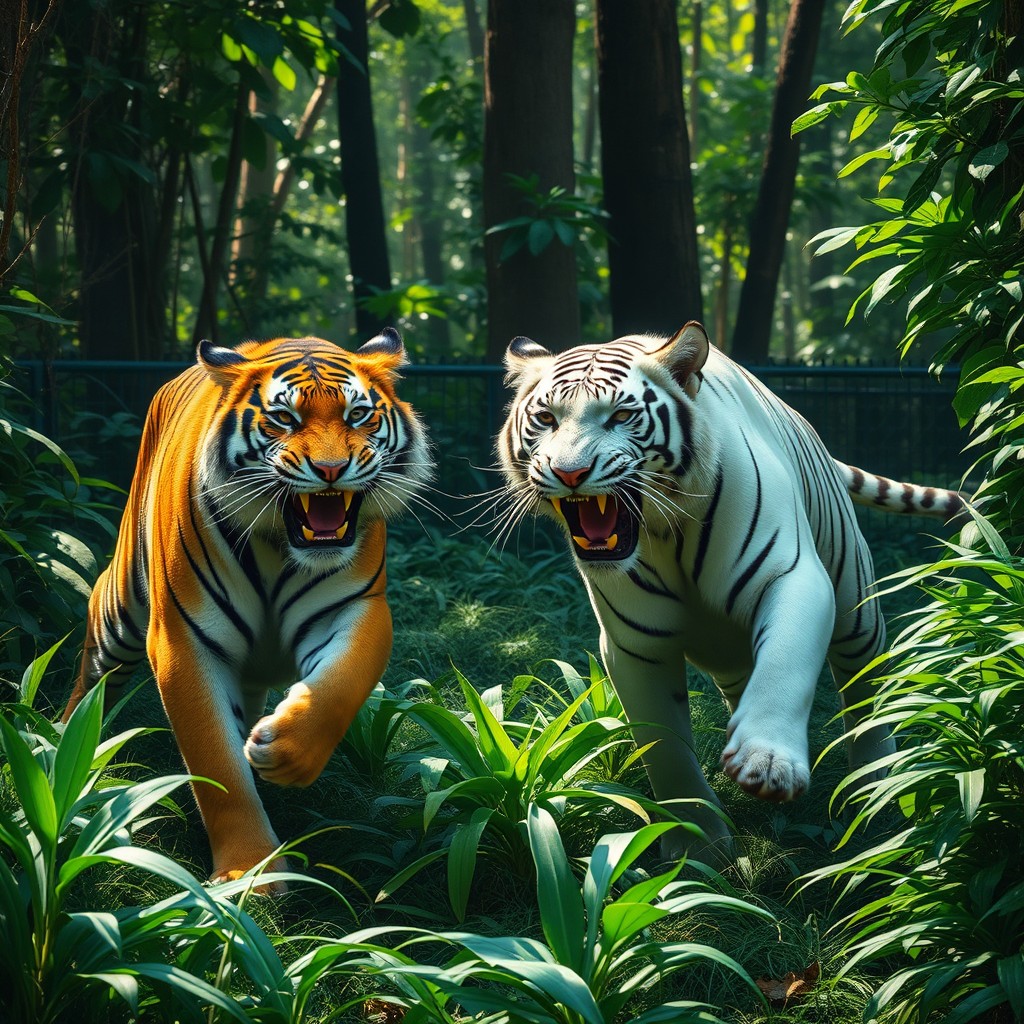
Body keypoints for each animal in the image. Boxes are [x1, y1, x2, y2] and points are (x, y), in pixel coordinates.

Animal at [62, 328, 432, 886]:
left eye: (356, 415)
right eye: (284, 419)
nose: (331, 470)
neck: (281, 547)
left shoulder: (358, 606)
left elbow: (342, 683)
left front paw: (284, 753)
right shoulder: (183, 640)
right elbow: (215, 763)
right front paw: (249, 873)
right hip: (120, 605)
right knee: (94, 666)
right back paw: (59, 745)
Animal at [497, 321, 966, 863]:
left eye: (620, 416)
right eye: (546, 419)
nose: (570, 472)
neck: (662, 532)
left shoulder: (792, 576)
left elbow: (784, 665)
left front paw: (768, 761)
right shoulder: (634, 644)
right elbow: (665, 747)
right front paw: (697, 848)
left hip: (855, 605)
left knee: (863, 686)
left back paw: (874, 783)